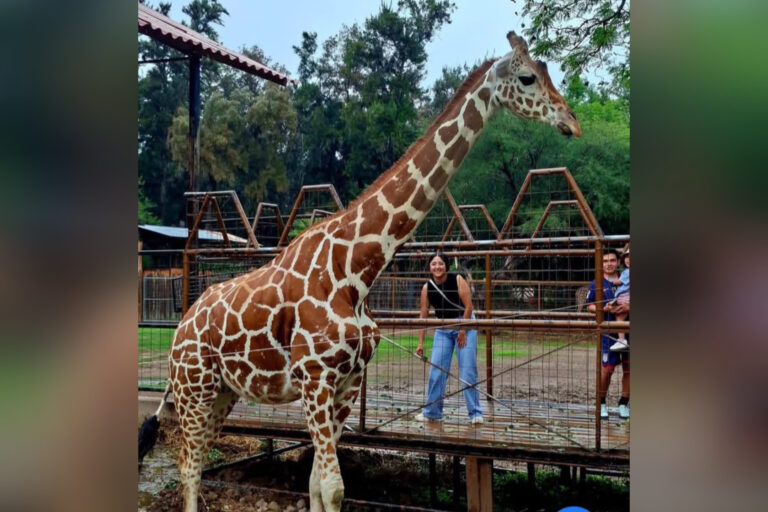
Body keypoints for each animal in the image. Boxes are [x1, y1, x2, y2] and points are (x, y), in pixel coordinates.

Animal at [148, 31, 580, 512]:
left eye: (546, 71)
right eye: (527, 78)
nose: (572, 121)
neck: (356, 271)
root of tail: (181, 326)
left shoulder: (347, 383)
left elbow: (318, 484)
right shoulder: (315, 380)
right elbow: (334, 485)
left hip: (223, 391)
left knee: (198, 460)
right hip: (194, 388)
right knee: (189, 465)